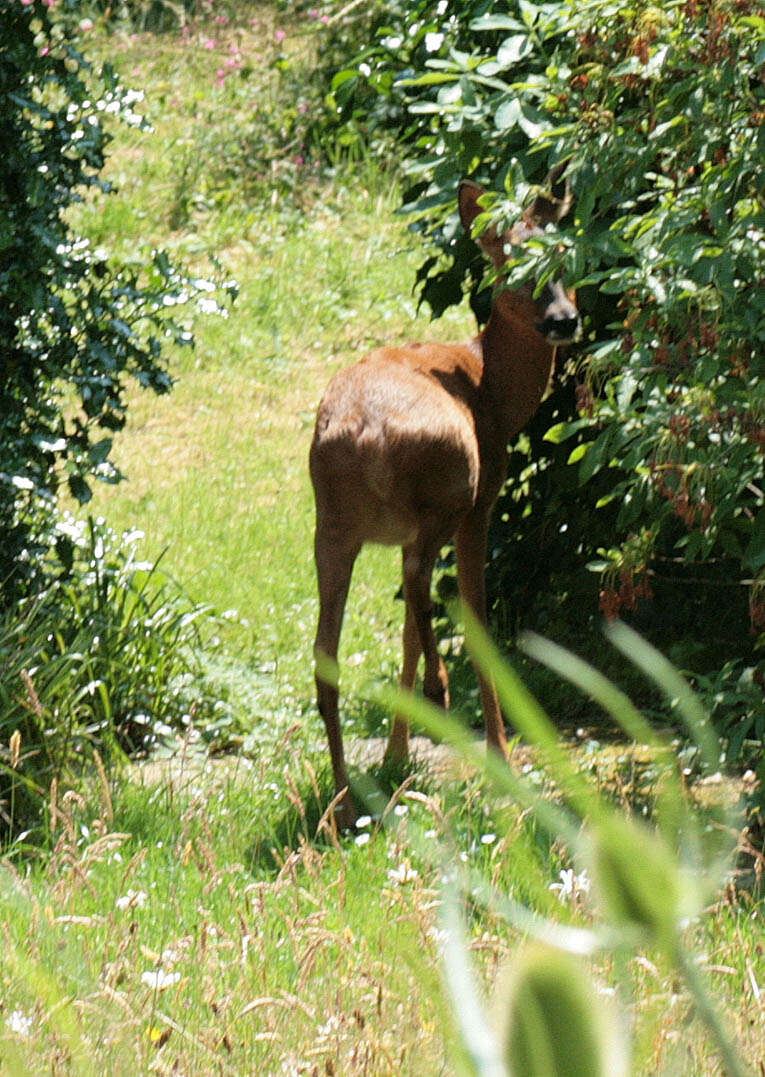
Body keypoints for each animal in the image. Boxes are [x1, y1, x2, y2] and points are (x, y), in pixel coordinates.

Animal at [308, 170, 577, 822]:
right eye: (512, 258)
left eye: (565, 251)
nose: (564, 319)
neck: (493, 390)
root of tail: (365, 434)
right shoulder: (482, 505)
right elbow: (474, 619)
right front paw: (503, 756)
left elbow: (405, 631)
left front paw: (397, 755)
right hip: (447, 490)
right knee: (422, 589)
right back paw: (440, 690)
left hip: (333, 523)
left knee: (330, 651)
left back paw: (344, 799)